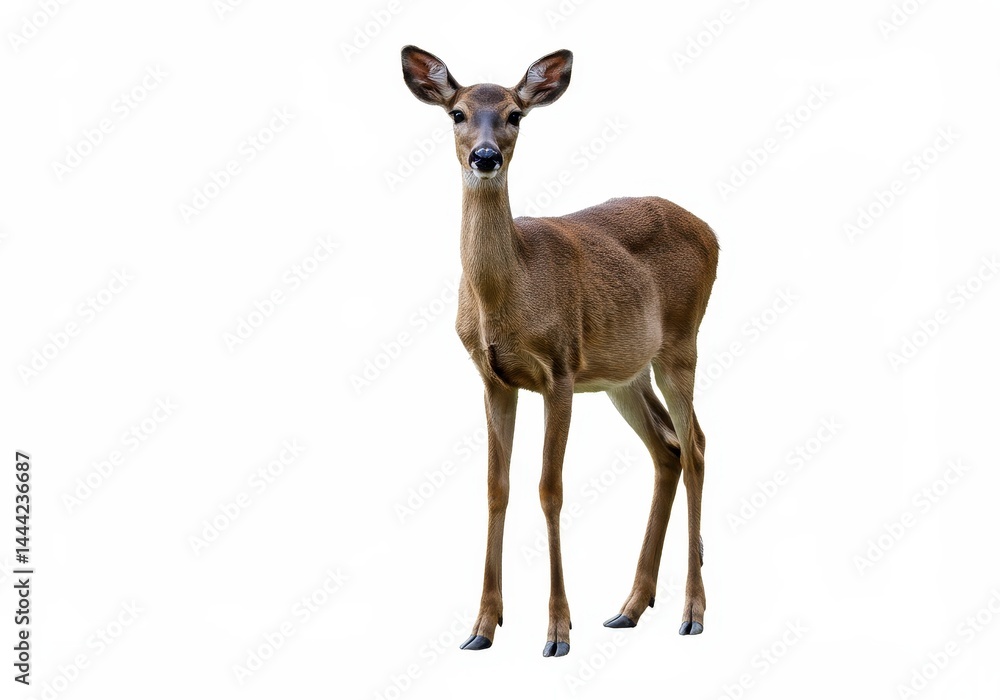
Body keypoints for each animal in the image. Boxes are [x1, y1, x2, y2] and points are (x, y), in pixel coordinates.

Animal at [400, 45, 719, 658]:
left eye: (514, 115)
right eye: (457, 113)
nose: (484, 156)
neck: (510, 293)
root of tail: (713, 232)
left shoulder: (561, 369)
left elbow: (550, 489)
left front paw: (557, 631)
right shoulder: (493, 378)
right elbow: (496, 489)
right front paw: (482, 626)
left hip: (681, 344)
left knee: (696, 446)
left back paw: (692, 613)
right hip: (625, 373)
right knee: (667, 447)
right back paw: (629, 607)